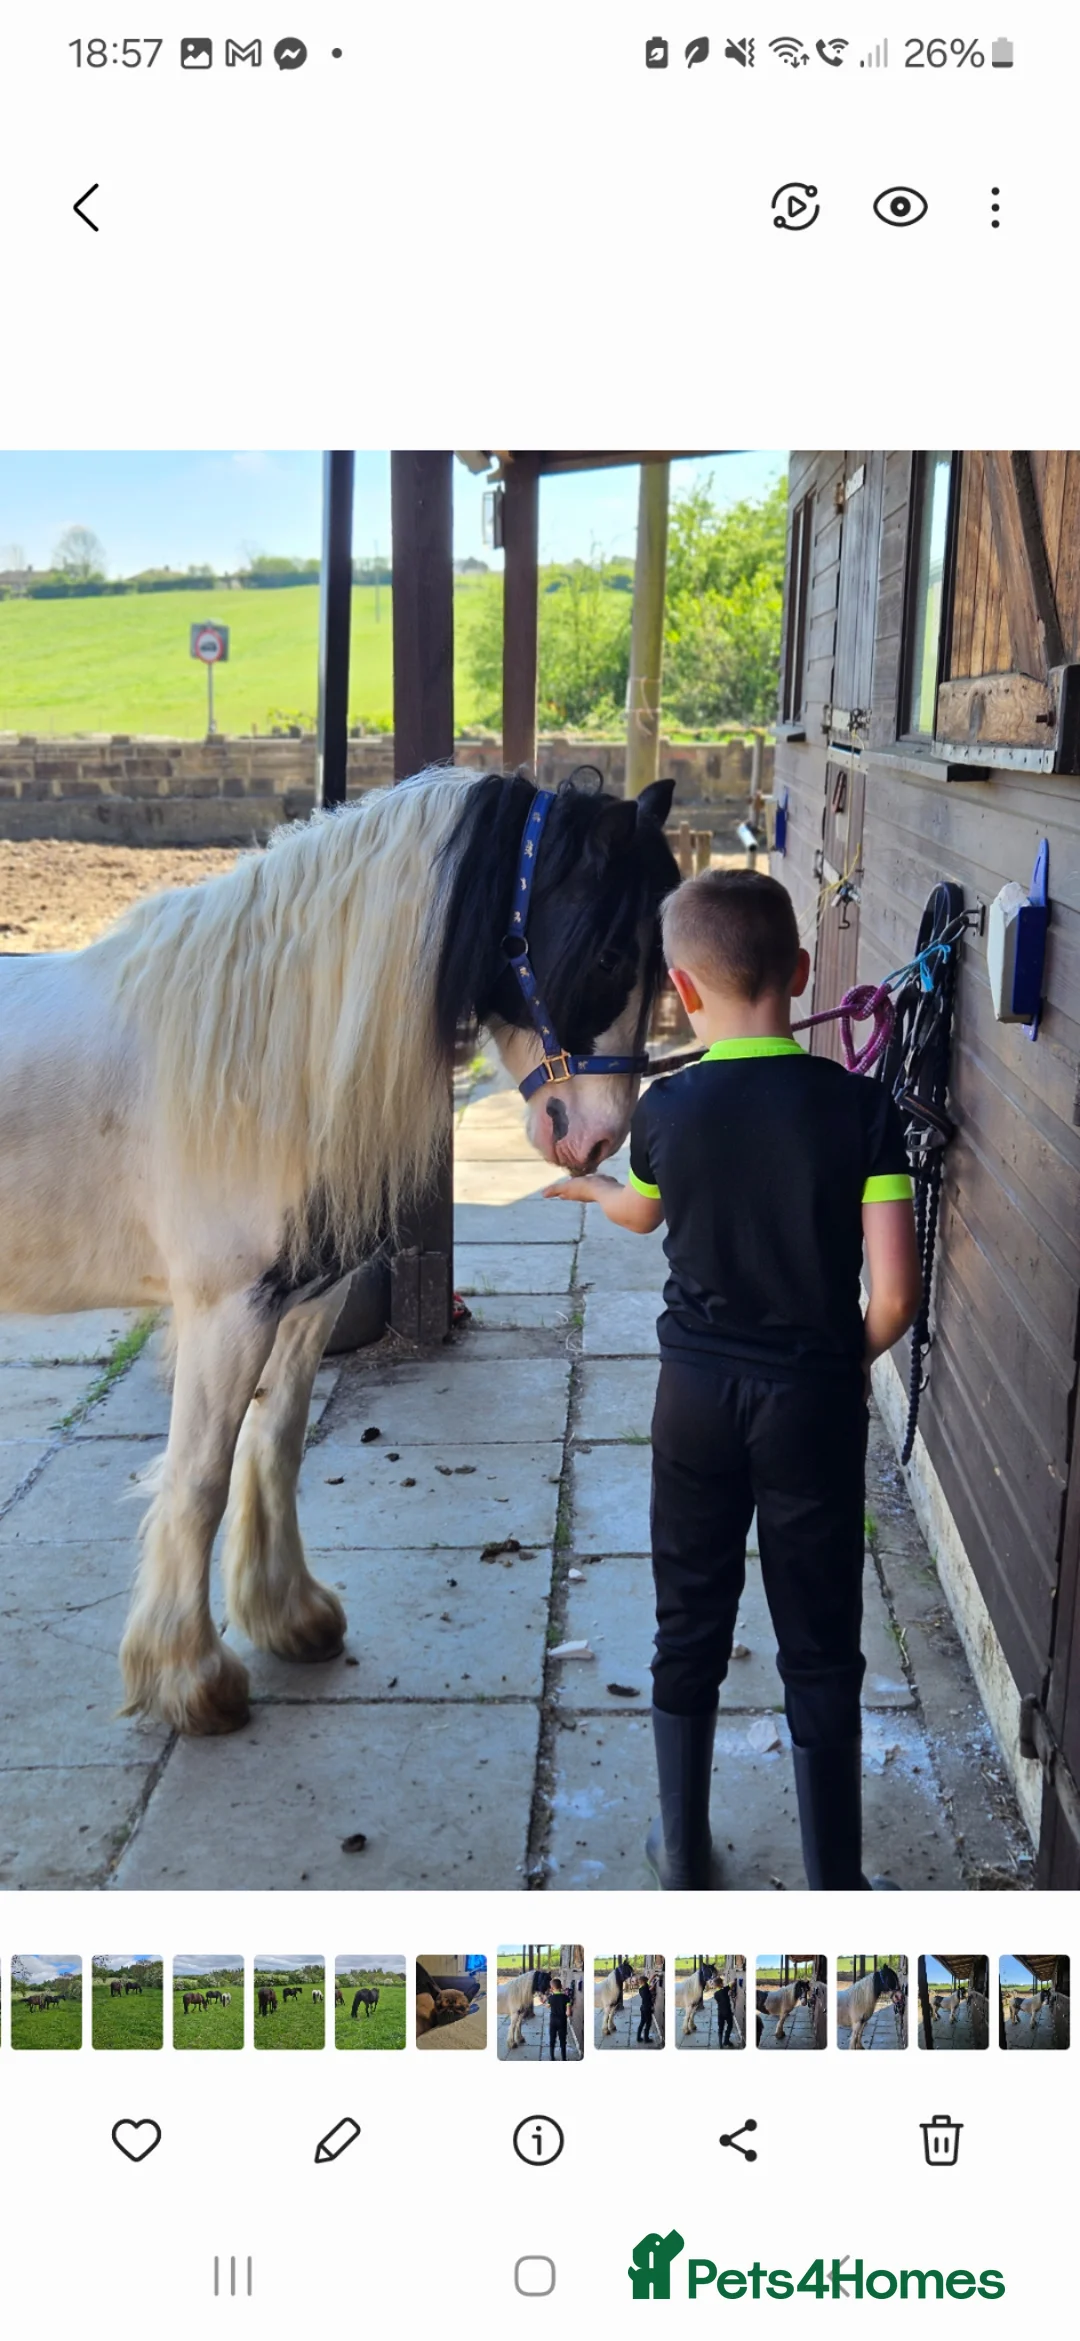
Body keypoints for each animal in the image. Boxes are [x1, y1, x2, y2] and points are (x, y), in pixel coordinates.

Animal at [0, 768, 676, 1739]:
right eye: (616, 956)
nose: (598, 1139)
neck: (259, 1049)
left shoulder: (302, 1305)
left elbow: (276, 1446)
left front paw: (289, 1615)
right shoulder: (225, 1312)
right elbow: (199, 1479)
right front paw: (191, 1678)